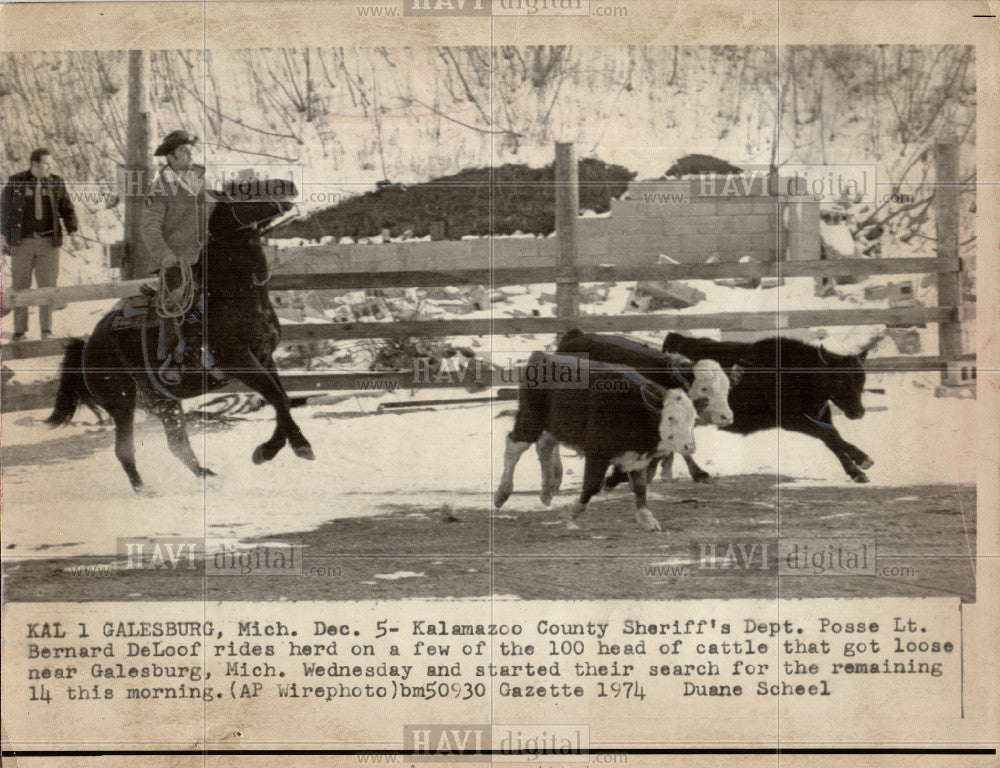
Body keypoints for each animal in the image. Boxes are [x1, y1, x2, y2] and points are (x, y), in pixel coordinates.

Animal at [45, 192, 312, 492]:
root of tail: (87, 348)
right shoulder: (239, 361)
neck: (233, 295)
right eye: (243, 191)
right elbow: (277, 397)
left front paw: (277, 449)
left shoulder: (265, 356)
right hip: (123, 403)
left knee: (177, 444)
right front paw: (285, 449)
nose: (288, 191)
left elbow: (282, 399)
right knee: (125, 449)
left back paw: (209, 477)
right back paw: (145, 490)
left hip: (163, 401)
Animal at [492, 352, 696, 532]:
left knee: (544, 446)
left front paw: (647, 518)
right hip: (530, 421)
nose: (689, 446)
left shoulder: (638, 458)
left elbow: (640, 487)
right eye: (670, 417)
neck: (634, 410)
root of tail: (542, 356)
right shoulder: (597, 453)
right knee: (514, 446)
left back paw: (547, 491)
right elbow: (592, 484)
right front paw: (572, 513)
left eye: (692, 419)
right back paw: (502, 493)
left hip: (554, 426)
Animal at [660, 332, 880, 486]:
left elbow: (833, 439)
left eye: (862, 380)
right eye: (840, 380)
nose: (859, 413)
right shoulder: (792, 420)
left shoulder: (820, 417)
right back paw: (697, 474)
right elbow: (830, 436)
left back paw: (670, 472)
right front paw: (863, 461)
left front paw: (858, 470)